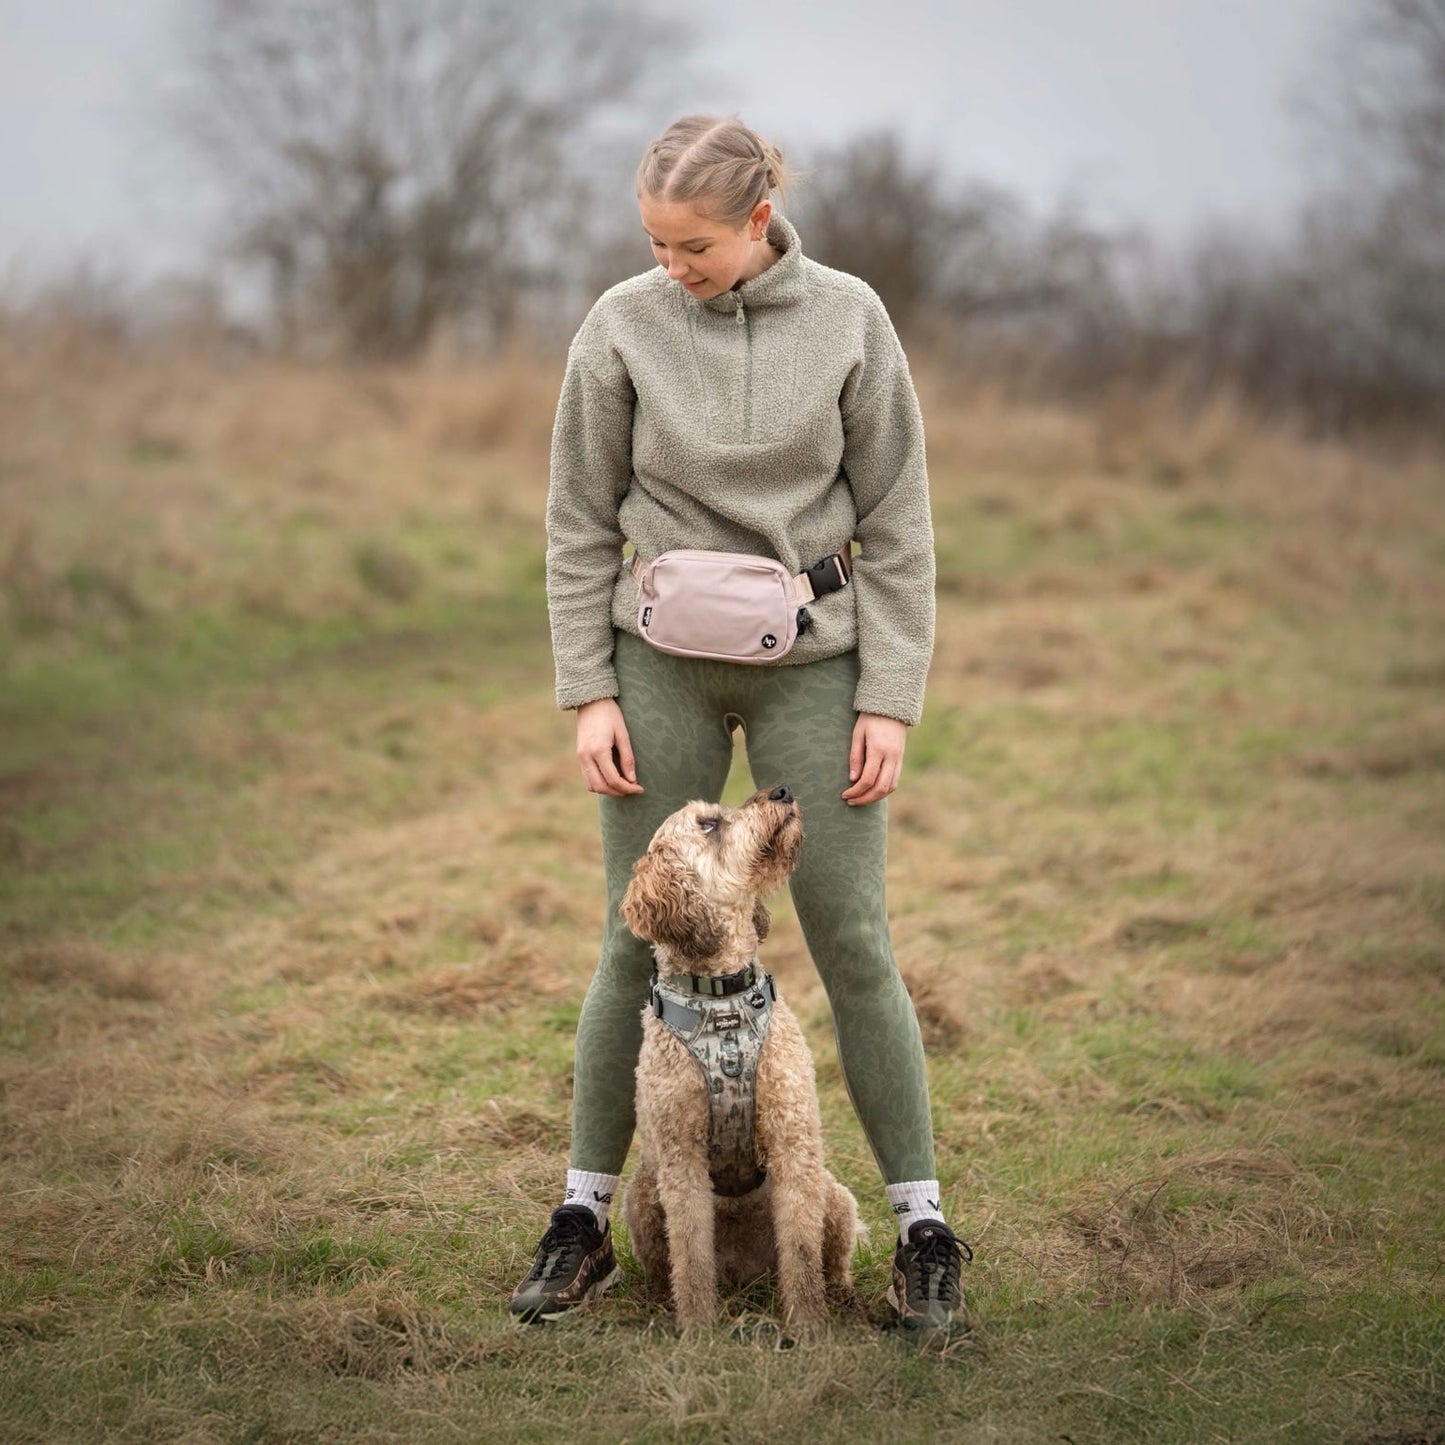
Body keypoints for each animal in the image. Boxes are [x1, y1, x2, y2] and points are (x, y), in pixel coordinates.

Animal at [618, 791, 855, 1329]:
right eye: (708, 825)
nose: (782, 791)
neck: (721, 1000)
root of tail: (747, 1275)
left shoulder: (793, 1143)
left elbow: (802, 1253)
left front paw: (810, 1328)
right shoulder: (681, 1159)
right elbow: (690, 1256)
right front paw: (699, 1330)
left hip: (833, 1195)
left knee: (832, 1260)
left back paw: (844, 1297)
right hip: (641, 1197)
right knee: (664, 1267)